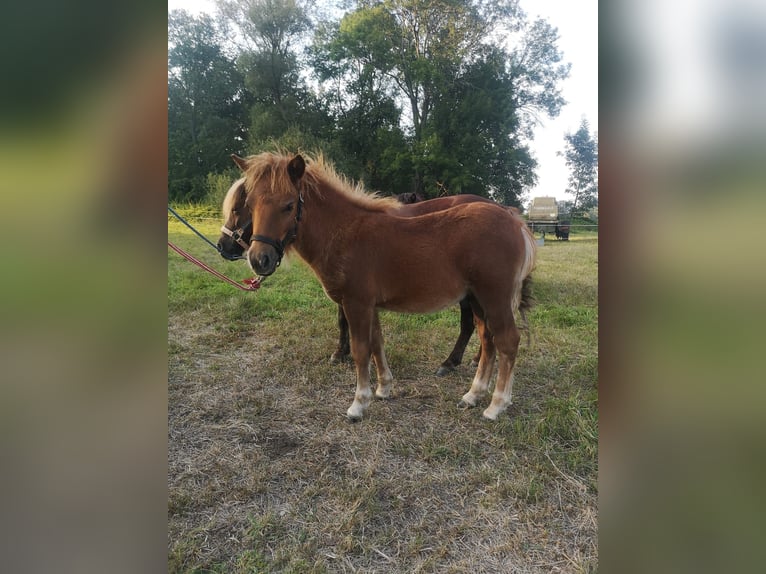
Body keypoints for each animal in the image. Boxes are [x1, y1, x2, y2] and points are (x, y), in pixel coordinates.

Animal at [232, 152, 536, 424]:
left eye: (288, 205)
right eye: (250, 203)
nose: (259, 260)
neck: (345, 233)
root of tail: (514, 221)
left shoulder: (356, 303)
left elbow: (360, 349)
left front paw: (358, 404)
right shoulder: (370, 305)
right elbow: (377, 342)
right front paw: (383, 388)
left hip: (494, 297)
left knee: (508, 341)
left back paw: (496, 406)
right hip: (477, 299)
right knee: (488, 340)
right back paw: (472, 395)